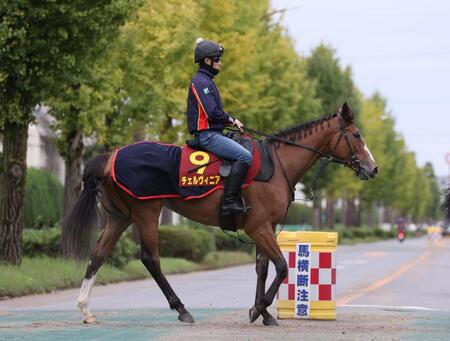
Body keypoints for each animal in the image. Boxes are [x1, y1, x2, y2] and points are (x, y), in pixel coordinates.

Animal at [62, 102, 380, 326]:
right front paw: (258, 308)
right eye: (356, 135)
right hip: (146, 213)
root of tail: (113, 156)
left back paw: (85, 309)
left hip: (120, 217)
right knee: (151, 260)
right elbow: (281, 267)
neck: (277, 165)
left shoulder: (265, 227)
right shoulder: (258, 227)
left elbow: (263, 268)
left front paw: (265, 313)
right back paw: (182, 309)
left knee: (98, 256)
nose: (373, 168)